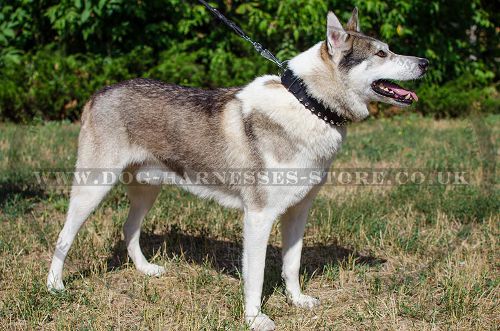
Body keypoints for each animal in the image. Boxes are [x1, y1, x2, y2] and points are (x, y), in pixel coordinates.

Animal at [47, 7, 428, 331]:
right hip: (92, 189)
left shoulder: (298, 212)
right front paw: (255, 319)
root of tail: (100, 93)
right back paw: (55, 286)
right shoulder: (258, 217)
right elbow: (256, 276)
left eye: (389, 49)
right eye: (381, 54)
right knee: (64, 237)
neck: (309, 106)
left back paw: (145, 270)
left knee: (129, 230)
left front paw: (297, 301)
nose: (424, 62)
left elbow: (292, 265)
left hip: (147, 190)